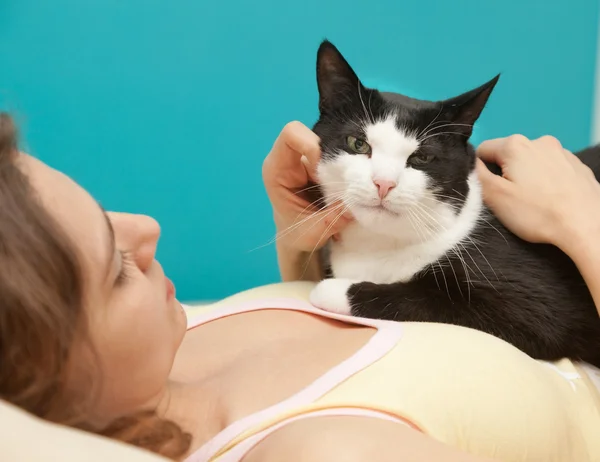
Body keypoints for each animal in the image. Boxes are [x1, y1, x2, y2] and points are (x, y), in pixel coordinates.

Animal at [308, 39, 600, 366]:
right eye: (358, 144)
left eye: (421, 158)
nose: (384, 183)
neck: (379, 244)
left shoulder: (533, 305)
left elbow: (425, 299)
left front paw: (331, 290)